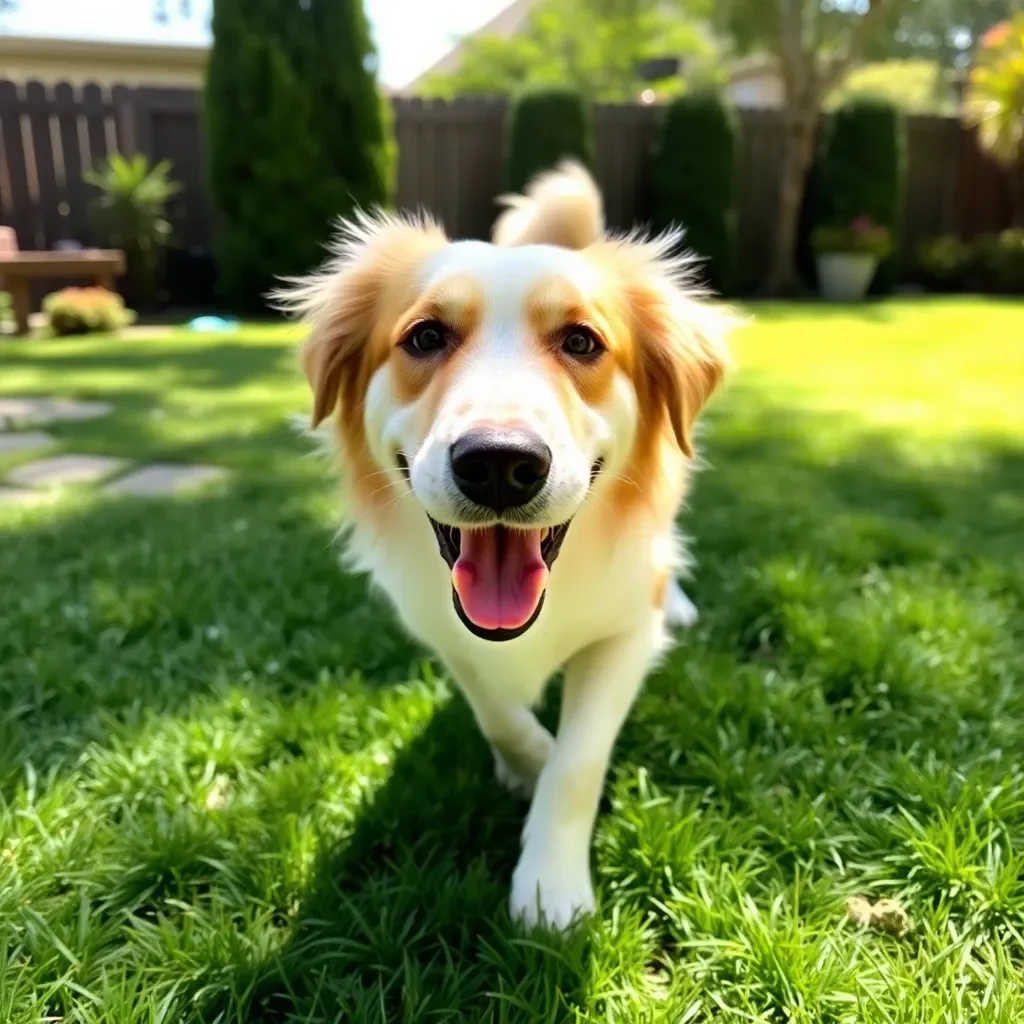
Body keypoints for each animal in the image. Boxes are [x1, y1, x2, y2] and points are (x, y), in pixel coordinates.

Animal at [276, 159, 733, 929]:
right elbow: (496, 711)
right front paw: (527, 761)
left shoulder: (624, 634)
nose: (499, 462)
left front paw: (550, 887)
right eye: (425, 337)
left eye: (581, 342)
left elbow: (578, 762)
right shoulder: (442, 630)